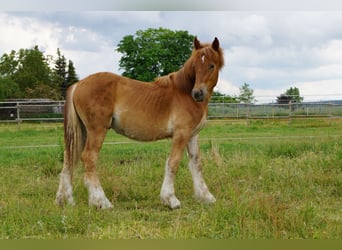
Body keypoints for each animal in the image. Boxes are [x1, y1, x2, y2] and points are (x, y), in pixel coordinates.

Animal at [56, 37, 224, 209]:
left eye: (211, 65)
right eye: (195, 66)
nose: (197, 94)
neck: (183, 92)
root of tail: (78, 84)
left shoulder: (192, 136)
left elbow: (196, 163)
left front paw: (206, 197)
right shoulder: (181, 134)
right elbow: (173, 162)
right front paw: (171, 199)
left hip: (82, 132)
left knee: (69, 158)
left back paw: (65, 200)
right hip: (97, 130)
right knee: (89, 158)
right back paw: (102, 201)